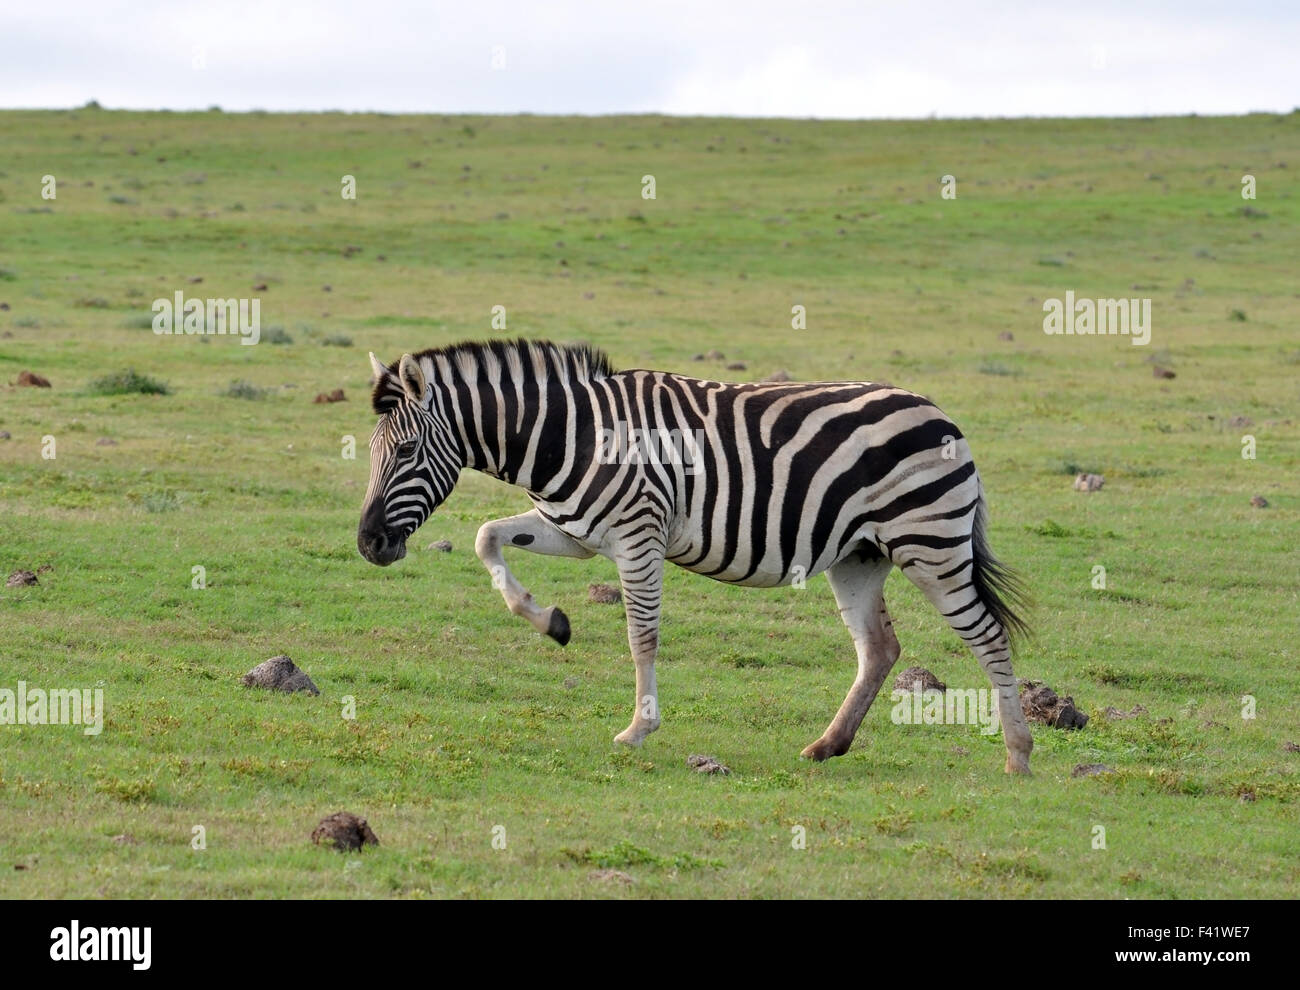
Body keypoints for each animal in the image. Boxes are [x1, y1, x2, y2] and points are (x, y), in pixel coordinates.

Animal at [357, 339, 1034, 774]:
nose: (368, 544)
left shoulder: (638, 537)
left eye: (408, 451)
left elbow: (643, 636)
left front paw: (639, 729)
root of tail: (940, 413)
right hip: (860, 555)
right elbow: (486, 537)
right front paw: (551, 621)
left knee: (988, 636)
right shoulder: (574, 532)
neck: (570, 437)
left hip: (930, 543)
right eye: (369, 451)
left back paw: (1018, 754)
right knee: (880, 648)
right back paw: (827, 746)